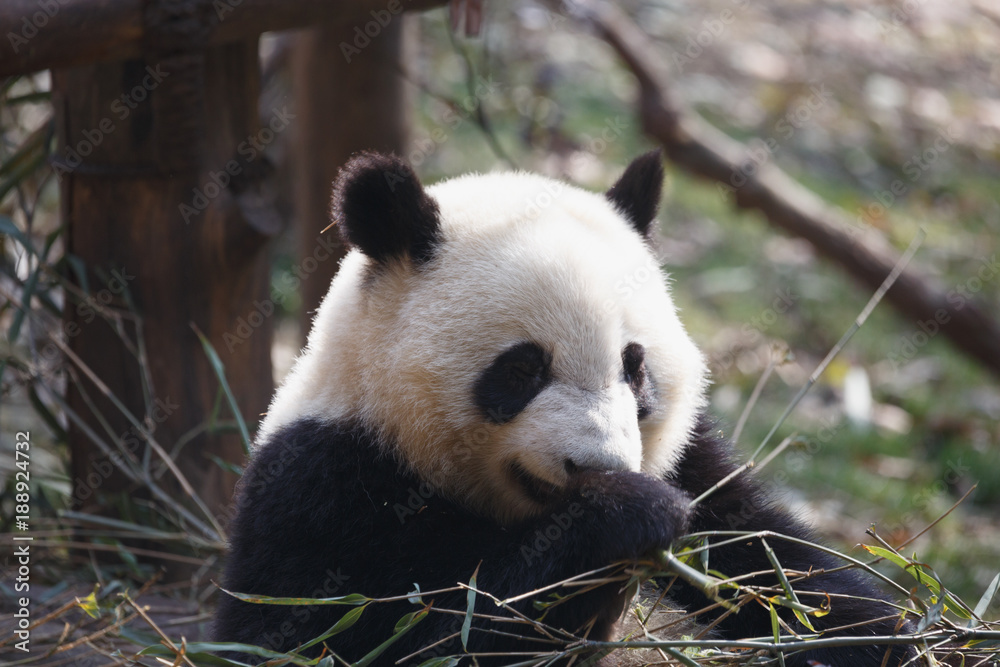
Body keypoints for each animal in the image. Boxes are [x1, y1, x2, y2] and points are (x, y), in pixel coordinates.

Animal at [214, 151, 912, 666]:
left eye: (634, 367)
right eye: (523, 369)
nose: (598, 466)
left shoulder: (696, 465)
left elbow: (781, 570)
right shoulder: (323, 486)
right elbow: (340, 635)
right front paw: (623, 515)